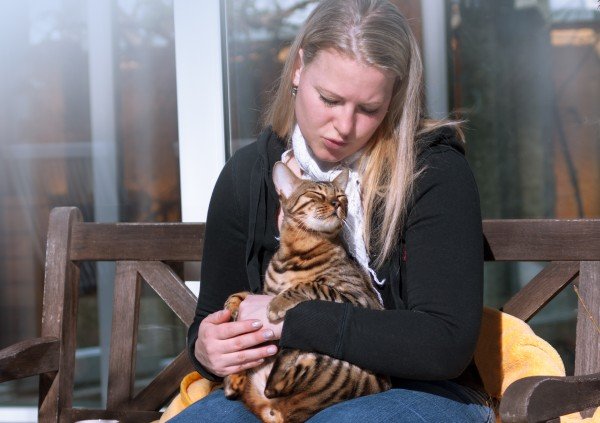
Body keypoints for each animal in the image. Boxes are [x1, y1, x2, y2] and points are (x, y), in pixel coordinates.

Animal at [223, 161, 392, 423]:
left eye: (341, 197)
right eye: (317, 194)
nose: (336, 203)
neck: (299, 251)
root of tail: (276, 412)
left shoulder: (360, 299)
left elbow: (311, 285)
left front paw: (277, 305)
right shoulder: (265, 290)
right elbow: (242, 294)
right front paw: (230, 309)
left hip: (324, 360)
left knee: (276, 383)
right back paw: (234, 379)